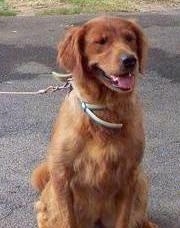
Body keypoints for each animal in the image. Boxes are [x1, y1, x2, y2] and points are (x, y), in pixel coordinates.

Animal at [31, 16, 158, 228]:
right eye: (101, 42)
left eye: (129, 38)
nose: (130, 60)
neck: (105, 107)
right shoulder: (62, 175)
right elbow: (67, 220)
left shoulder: (130, 175)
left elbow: (124, 220)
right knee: (43, 212)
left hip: (141, 182)